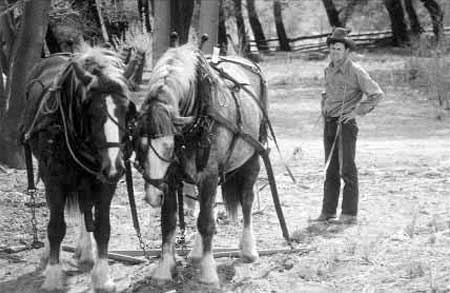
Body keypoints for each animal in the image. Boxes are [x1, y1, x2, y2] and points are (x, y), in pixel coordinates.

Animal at [20, 45, 135, 290]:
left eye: (125, 109)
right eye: (91, 111)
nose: (114, 167)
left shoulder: (104, 183)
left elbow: (102, 227)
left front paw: (102, 277)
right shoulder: (54, 180)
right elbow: (56, 228)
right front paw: (53, 276)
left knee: (85, 208)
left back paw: (86, 254)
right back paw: (48, 255)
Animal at [134, 45, 268, 282]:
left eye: (169, 146)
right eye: (139, 146)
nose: (154, 196)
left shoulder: (208, 175)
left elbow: (205, 223)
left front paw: (208, 272)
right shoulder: (173, 177)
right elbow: (168, 222)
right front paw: (164, 269)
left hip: (251, 158)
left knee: (246, 201)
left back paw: (248, 249)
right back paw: (197, 253)